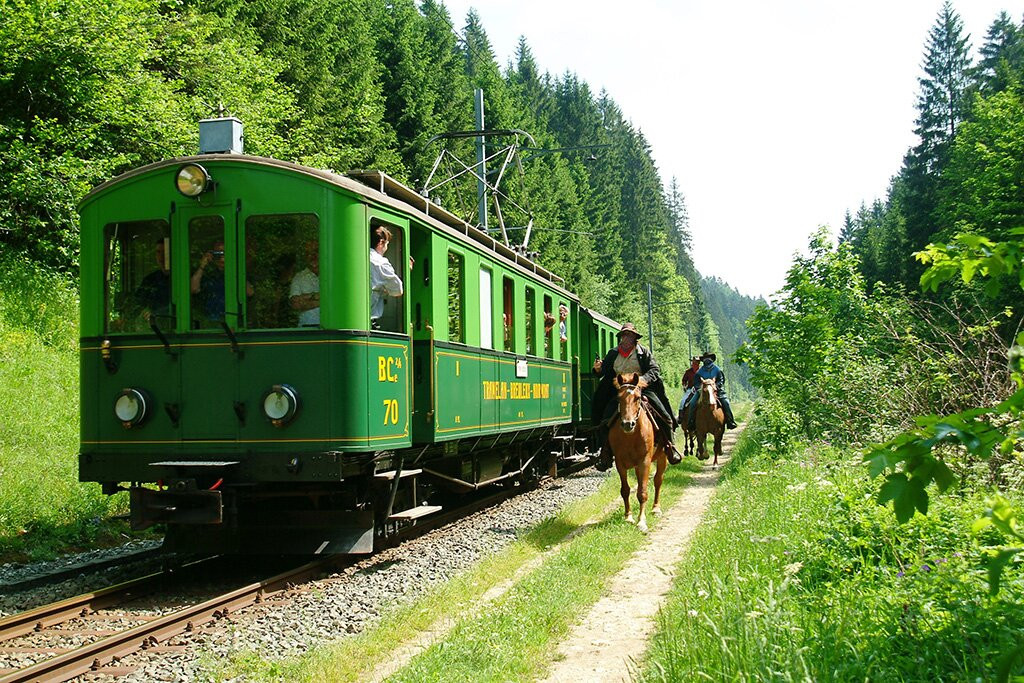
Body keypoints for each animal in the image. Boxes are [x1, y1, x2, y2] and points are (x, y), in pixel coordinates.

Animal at [606, 374, 671, 532]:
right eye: (618, 398)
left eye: (637, 398)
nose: (627, 424)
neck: (631, 436)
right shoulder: (620, 463)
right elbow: (625, 490)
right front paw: (628, 517)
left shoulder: (644, 462)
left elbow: (642, 492)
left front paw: (641, 521)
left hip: (662, 457)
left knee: (658, 480)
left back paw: (656, 508)